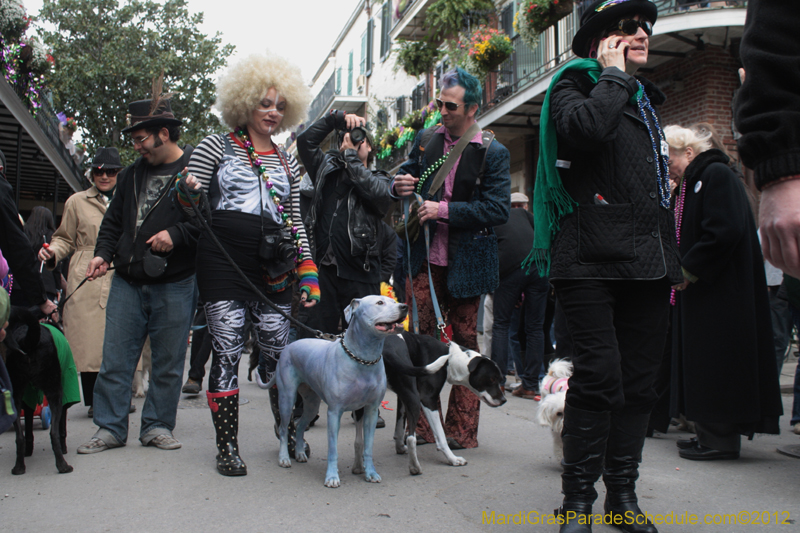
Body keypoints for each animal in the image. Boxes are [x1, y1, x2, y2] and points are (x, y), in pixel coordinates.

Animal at [382, 332, 506, 474]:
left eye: (500, 379)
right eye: (492, 379)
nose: (504, 400)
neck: (450, 360)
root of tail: (388, 349)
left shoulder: (403, 396)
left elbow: (399, 428)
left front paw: (400, 448)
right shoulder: (427, 399)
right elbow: (440, 435)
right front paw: (453, 459)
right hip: (414, 399)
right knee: (411, 438)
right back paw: (415, 467)